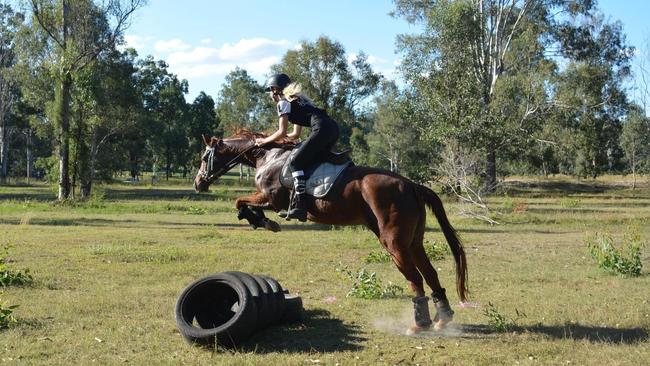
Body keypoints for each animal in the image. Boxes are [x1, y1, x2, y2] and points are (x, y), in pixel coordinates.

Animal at [192, 130, 466, 334]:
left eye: (205, 157)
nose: (198, 183)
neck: (267, 157)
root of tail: (411, 185)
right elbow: (241, 202)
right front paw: (260, 220)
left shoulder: (271, 199)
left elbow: (239, 201)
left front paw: (263, 222)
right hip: (413, 242)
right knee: (429, 273)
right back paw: (443, 319)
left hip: (394, 243)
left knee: (415, 278)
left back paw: (420, 325)